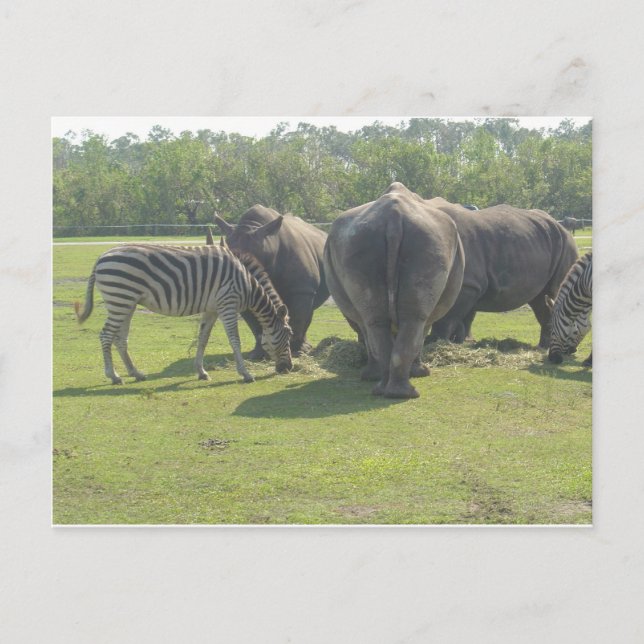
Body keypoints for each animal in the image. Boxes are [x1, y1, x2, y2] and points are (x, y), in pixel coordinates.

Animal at [74, 243, 293, 384]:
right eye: (289, 335)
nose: (288, 368)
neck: (246, 283)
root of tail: (101, 257)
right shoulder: (227, 305)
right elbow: (235, 341)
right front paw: (246, 374)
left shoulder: (212, 309)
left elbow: (203, 339)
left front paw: (201, 372)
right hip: (120, 299)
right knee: (106, 335)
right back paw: (114, 376)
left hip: (127, 303)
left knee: (120, 338)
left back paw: (136, 373)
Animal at [214, 205, 329, 357]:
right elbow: (255, 323)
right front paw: (258, 354)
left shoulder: (302, 289)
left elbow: (298, 316)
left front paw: (295, 351)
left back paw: (304, 349)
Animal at [324, 183, 465, 399]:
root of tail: (393, 217)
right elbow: (420, 333)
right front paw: (420, 372)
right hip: (428, 241)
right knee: (411, 321)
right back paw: (400, 392)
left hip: (363, 241)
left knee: (380, 322)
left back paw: (388, 390)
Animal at [425, 197, 579, 347]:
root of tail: (559, 224)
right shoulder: (471, 285)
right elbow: (463, 318)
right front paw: (458, 341)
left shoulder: (468, 284)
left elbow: (447, 317)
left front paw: (435, 343)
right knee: (540, 298)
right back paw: (543, 346)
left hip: (566, 244)